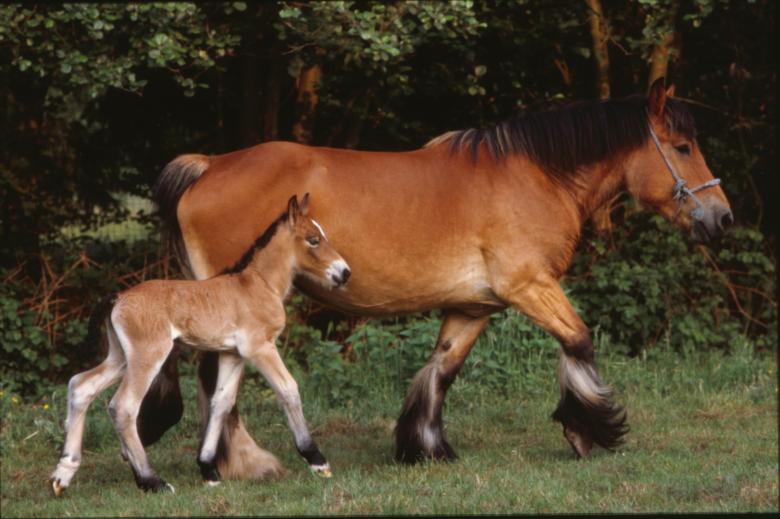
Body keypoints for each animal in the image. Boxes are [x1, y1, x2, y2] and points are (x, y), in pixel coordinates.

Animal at [50, 194, 351, 495]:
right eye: (313, 240)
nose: (344, 273)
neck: (259, 285)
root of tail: (118, 297)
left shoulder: (232, 354)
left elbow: (221, 402)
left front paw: (208, 469)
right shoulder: (260, 348)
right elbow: (288, 389)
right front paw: (317, 460)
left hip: (121, 357)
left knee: (80, 386)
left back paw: (63, 474)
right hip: (148, 355)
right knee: (123, 406)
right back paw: (152, 481)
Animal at [141, 78, 732, 477]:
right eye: (682, 147)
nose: (721, 218)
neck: (537, 176)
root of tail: (209, 166)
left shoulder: (475, 307)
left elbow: (441, 370)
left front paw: (425, 448)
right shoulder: (530, 287)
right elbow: (579, 340)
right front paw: (587, 431)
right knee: (216, 380)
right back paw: (243, 462)